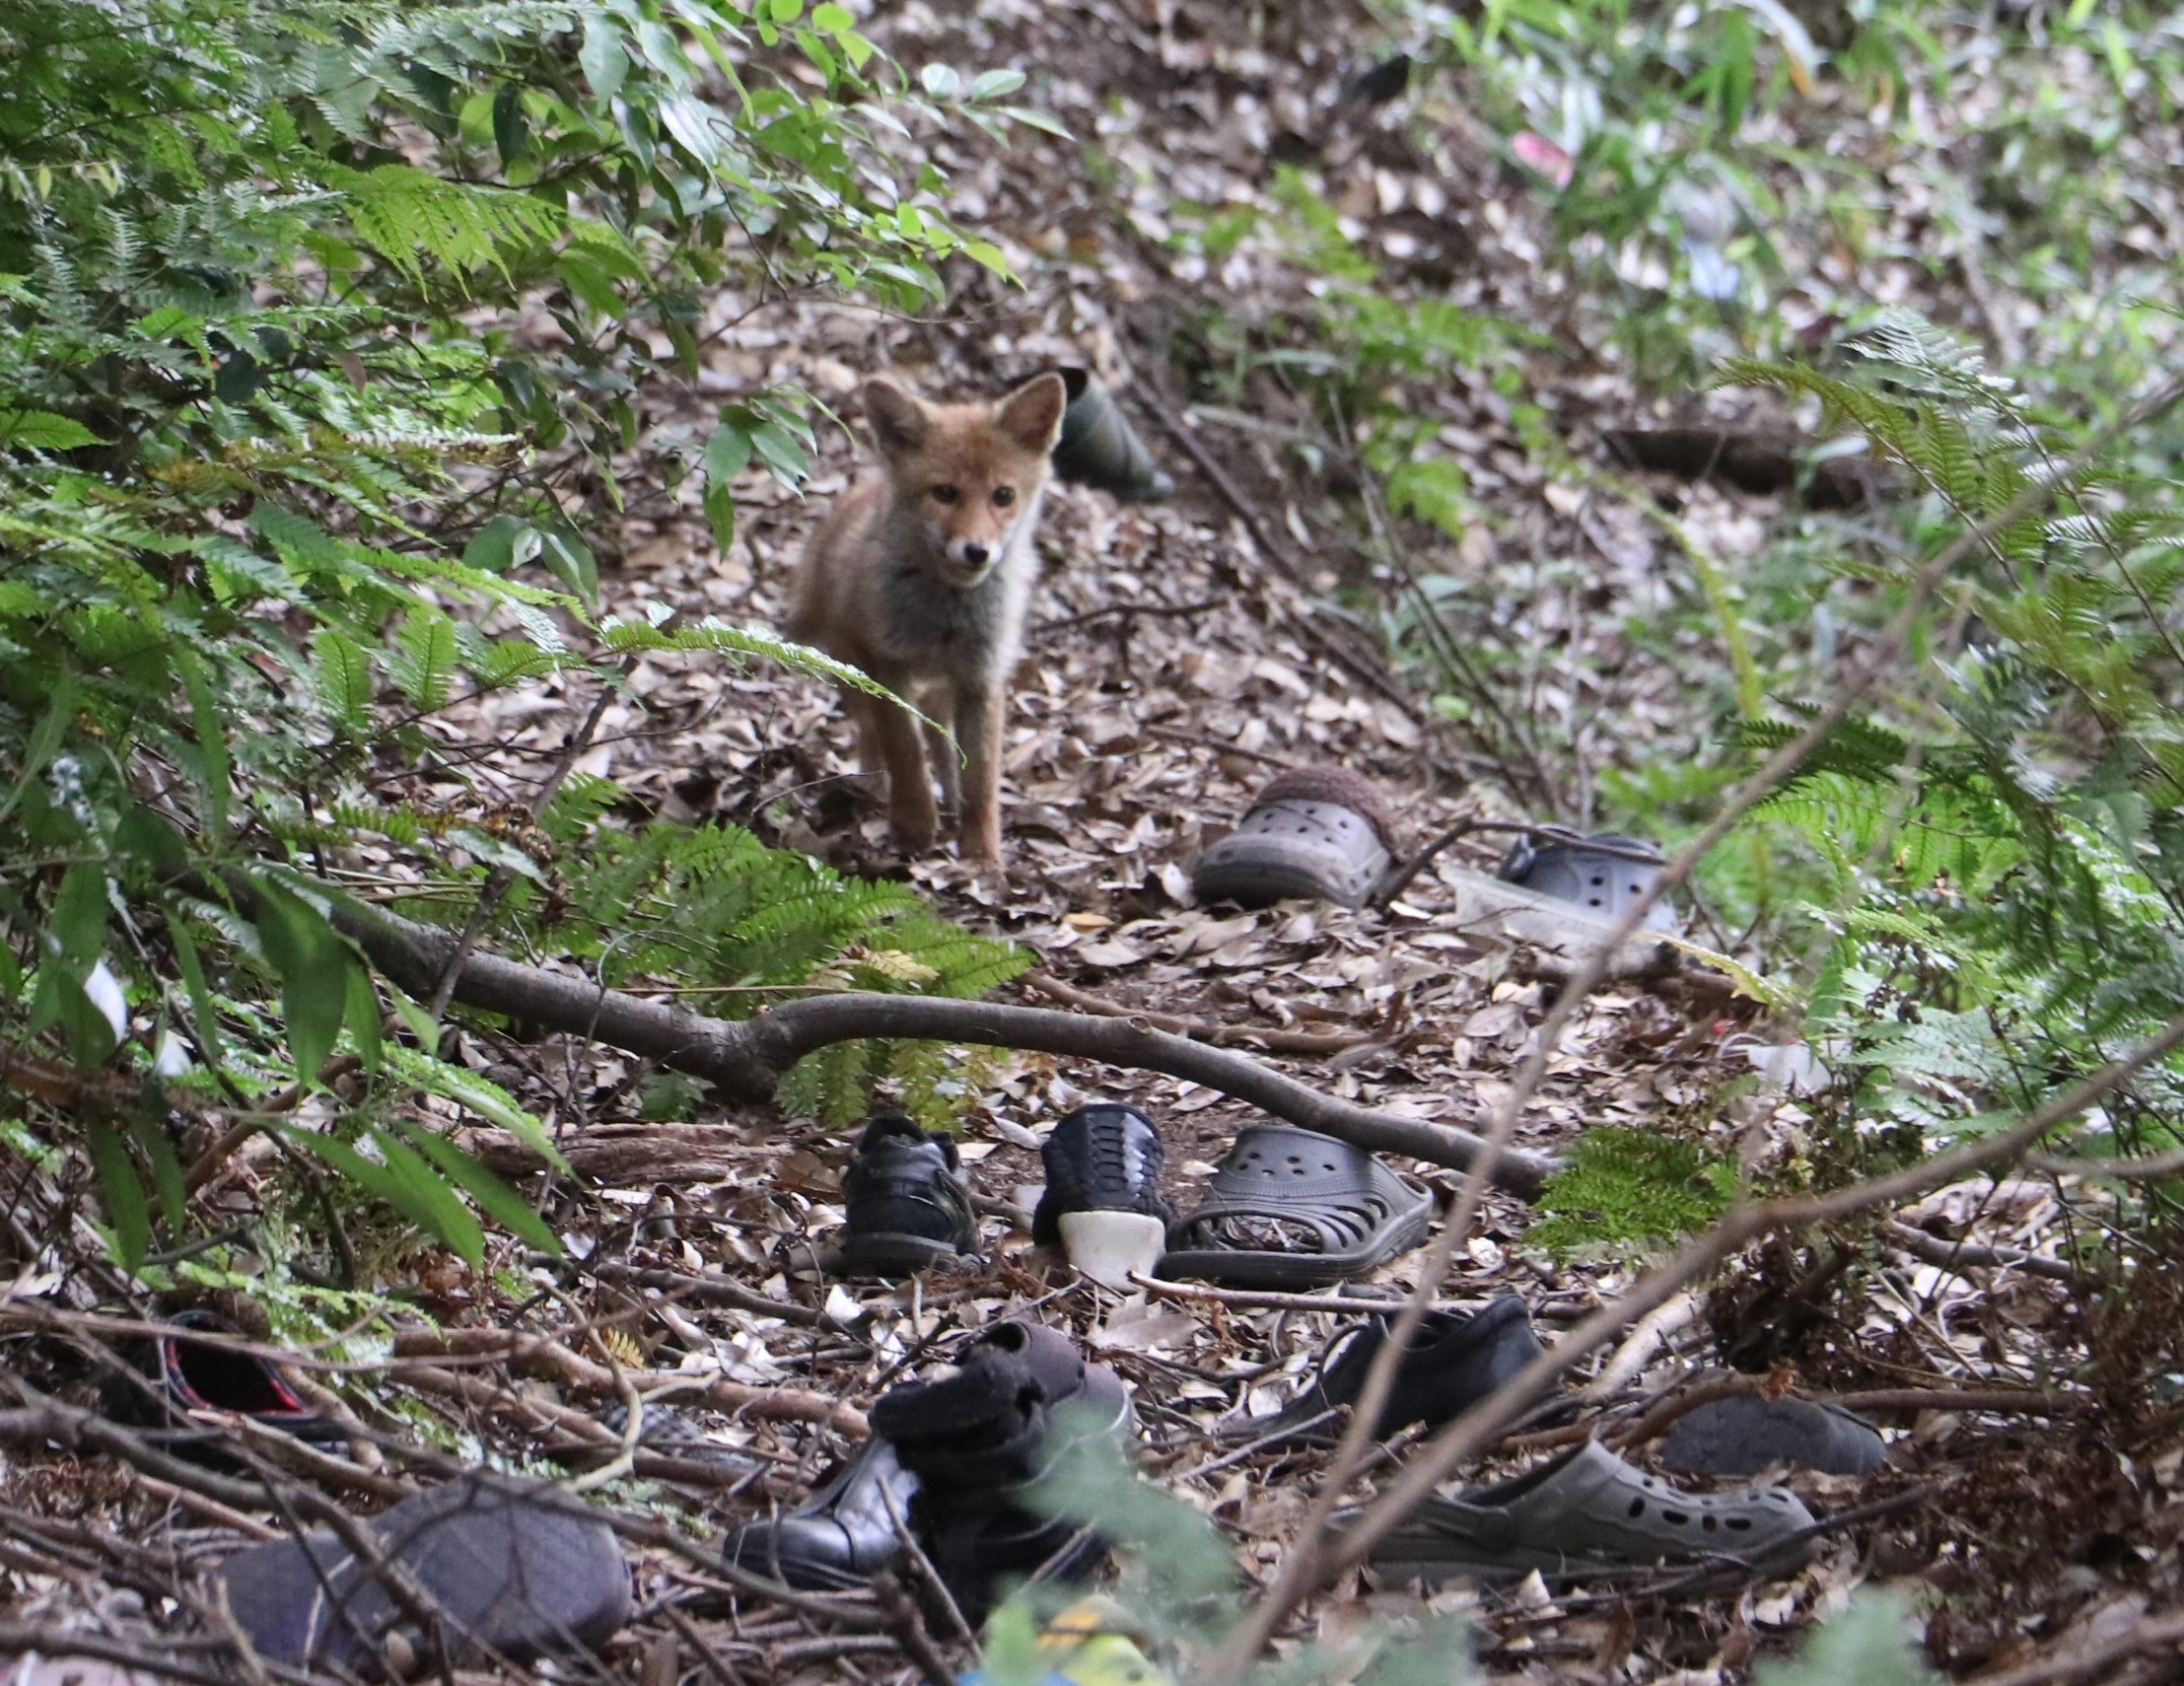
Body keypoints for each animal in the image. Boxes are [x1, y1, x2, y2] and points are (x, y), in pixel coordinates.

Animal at [790, 373, 1070, 865]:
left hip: (941, 691)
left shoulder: (981, 678)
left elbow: (981, 779)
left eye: (1003, 496)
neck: (945, 620)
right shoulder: (885, 667)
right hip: (852, 673)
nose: (977, 552)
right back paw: (874, 789)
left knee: (942, 742)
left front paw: (982, 855)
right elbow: (905, 752)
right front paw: (914, 827)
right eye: (945, 493)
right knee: (874, 737)